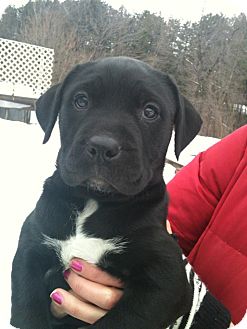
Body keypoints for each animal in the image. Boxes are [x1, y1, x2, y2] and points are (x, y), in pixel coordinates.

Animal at [10, 57, 203, 326]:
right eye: (81, 100)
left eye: (150, 111)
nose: (102, 146)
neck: (94, 200)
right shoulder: (31, 249)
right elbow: (27, 312)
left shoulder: (167, 279)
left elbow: (123, 320)